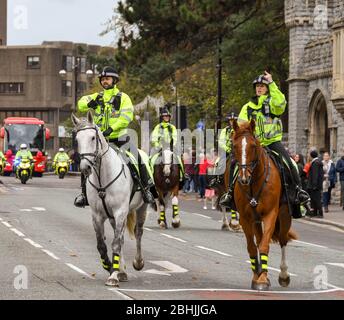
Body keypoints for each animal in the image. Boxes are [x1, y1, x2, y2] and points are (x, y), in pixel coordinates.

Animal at [72, 112, 147, 288]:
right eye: (77, 139)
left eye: (93, 137)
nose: (85, 168)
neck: (103, 176)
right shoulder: (97, 215)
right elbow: (101, 244)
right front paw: (108, 265)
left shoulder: (120, 212)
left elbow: (115, 243)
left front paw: (113, 276)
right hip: (113, 217)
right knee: (121, 238)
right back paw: (122, 271)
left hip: (141, 208)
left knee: (138, 233)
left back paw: (137, 263)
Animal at [232, 119, 296, 290]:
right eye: (234, 146)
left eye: (253, 146)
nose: (243, 178)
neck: (255, 182)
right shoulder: (246, 218)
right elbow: (252, 247)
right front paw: (258, 276)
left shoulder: (270, 215)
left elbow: (265, 245)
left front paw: (262, 279)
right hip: (256, 219)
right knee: (259, 239)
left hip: (284, 216)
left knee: (282, 240)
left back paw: (283, 275)